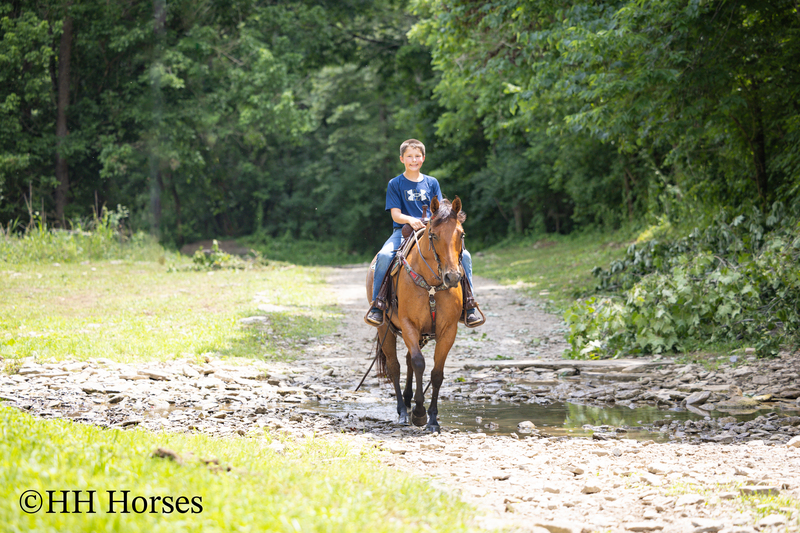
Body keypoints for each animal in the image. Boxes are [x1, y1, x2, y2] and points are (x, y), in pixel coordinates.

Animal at [365, 196, 466, 432]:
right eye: (434, 235)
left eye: (461, 234)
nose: (452, 277)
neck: (432, 286)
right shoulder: (409, 324)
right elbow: (419, 363)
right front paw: (419, 414)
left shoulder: (448, 330)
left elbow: (436, 373)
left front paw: (433, 419)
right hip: (385, 329)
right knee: (395, 366)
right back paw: (403, 410)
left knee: (408, 360)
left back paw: (408, 400)